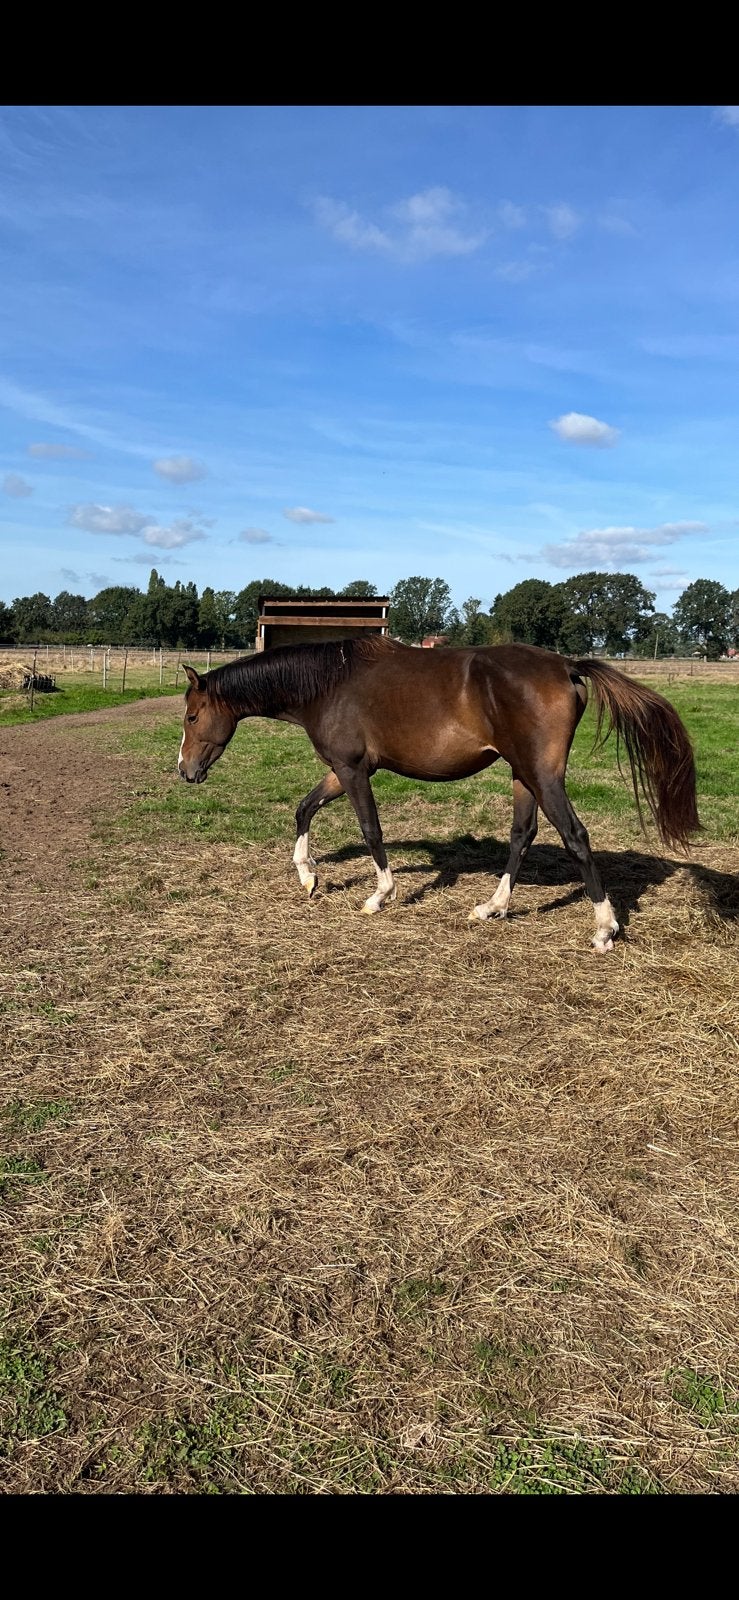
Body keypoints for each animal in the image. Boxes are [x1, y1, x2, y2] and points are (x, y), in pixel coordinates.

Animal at [178, 636, 699, 952]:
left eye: (192, 716)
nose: (184, 771)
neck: (329, 686)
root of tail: (566, 664)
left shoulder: (352, 770)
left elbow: (370, 830)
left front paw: (380, 895)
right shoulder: (343, 771)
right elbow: (304, 810)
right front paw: (309, 877)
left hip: (543, 776)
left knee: (575, 836)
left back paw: (604, 927)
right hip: (522, 775)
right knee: (521, 834)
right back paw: (493, 907)